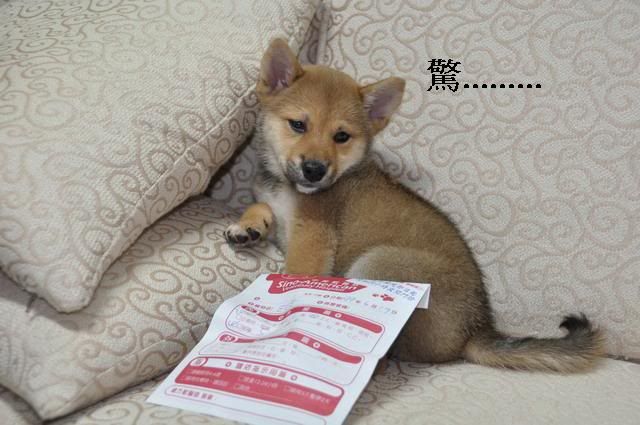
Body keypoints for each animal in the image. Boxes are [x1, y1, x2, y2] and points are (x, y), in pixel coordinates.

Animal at [224, 38, 604, 372]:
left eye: (342, 137)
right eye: (298, 125)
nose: (315, 170)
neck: (287, 186)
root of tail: (475, 329)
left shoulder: (312, 238)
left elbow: (296, 276)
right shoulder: (273, 203)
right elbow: (261, 209)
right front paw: (248, 227)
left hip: (378, 263)